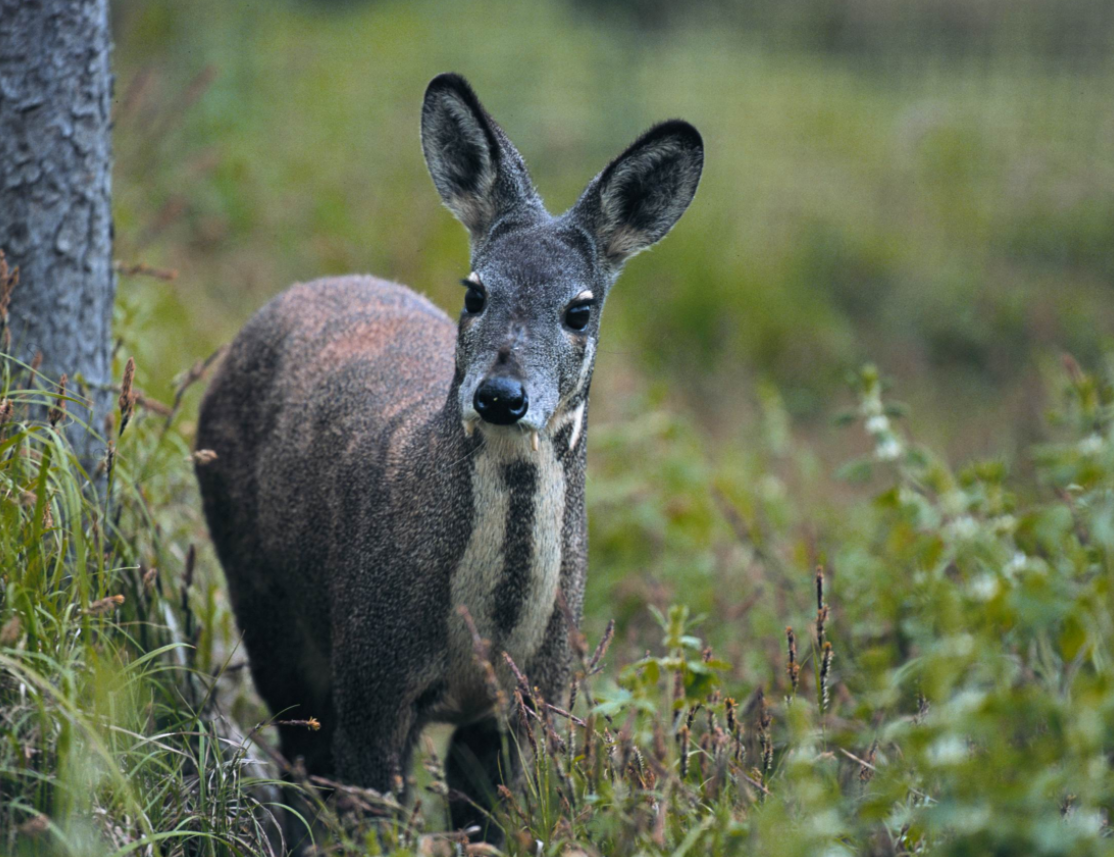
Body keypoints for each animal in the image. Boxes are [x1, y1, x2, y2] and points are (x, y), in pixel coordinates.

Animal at [196, 73, 699, 838]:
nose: (500, 395)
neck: (486, 634)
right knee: (298, 750)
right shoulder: (373, 671)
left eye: (579, 309)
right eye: (476, 290)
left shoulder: (533, 699)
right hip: (261, 594)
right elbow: (369, 810)